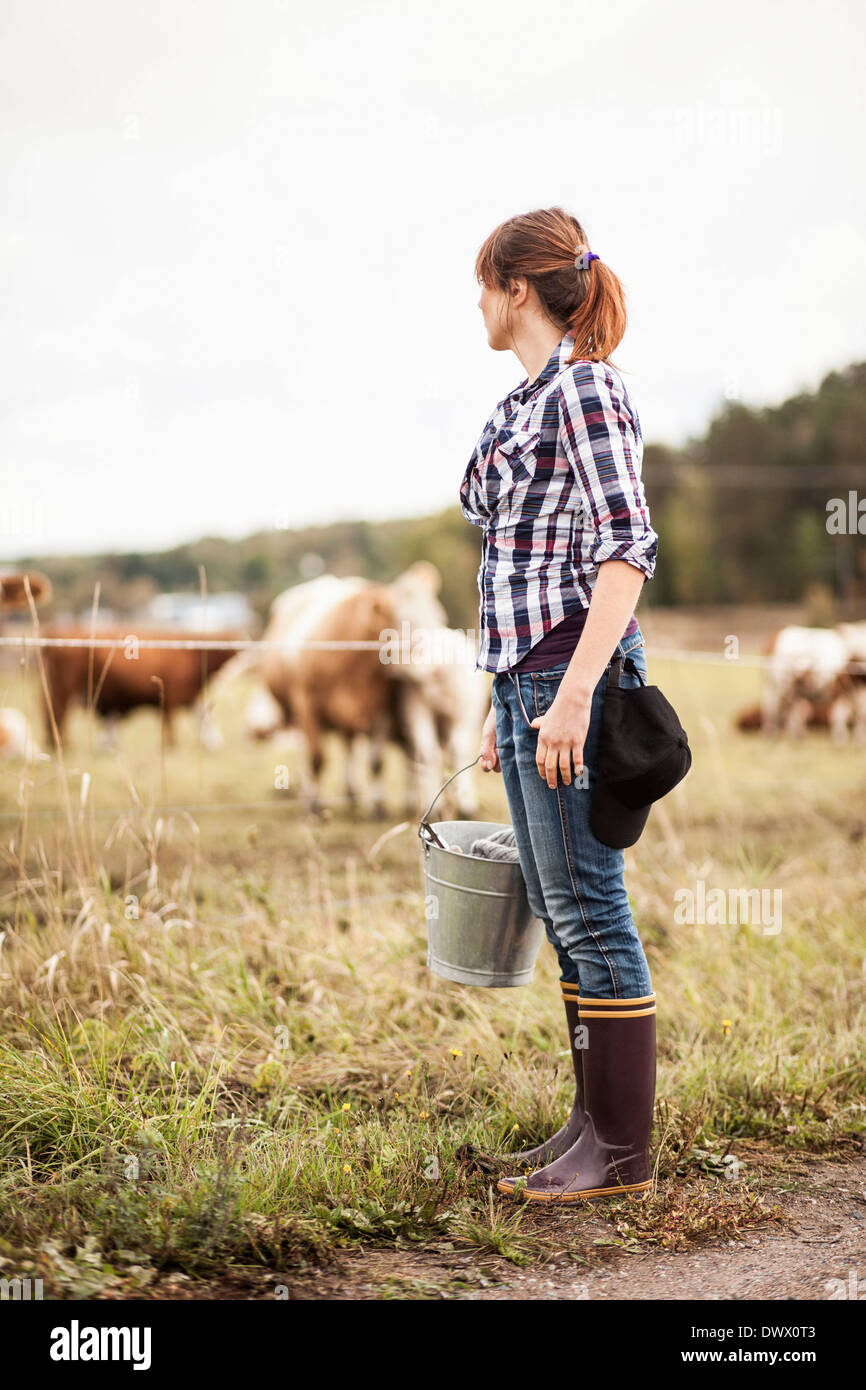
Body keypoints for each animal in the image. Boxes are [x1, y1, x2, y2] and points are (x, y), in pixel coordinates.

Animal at [41, 631, 240, 750]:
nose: (218, 745)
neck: (194, 655)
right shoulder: (170, 698)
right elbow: (169, 726)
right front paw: (171, 747)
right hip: (64, 689)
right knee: (58, 713)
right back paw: (63, 746)